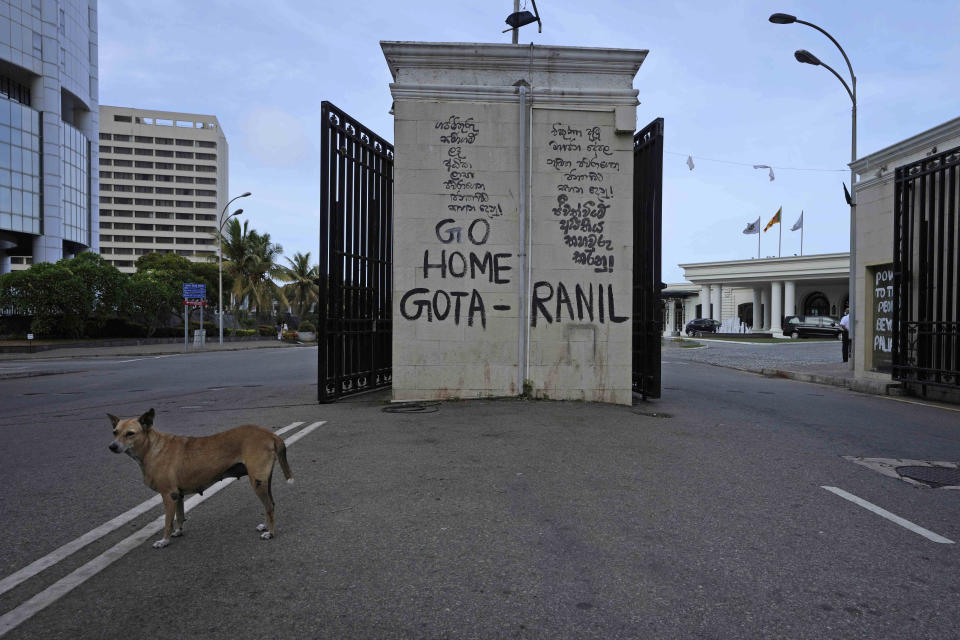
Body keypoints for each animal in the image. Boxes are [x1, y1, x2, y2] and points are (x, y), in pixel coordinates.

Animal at [108, 408, 292, 548]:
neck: (152, 447)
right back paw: (265, 526)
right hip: (264, 481)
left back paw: (270, 533)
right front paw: (178, 531)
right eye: (115, 432)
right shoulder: (177, 495)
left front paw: (164, 540)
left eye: (130, 433)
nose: (112, 446)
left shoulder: (168, 495)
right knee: (270, 504)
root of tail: (270, 434)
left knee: (269, 506)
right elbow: (179, 516)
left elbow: (168, 521)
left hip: (258, 482)